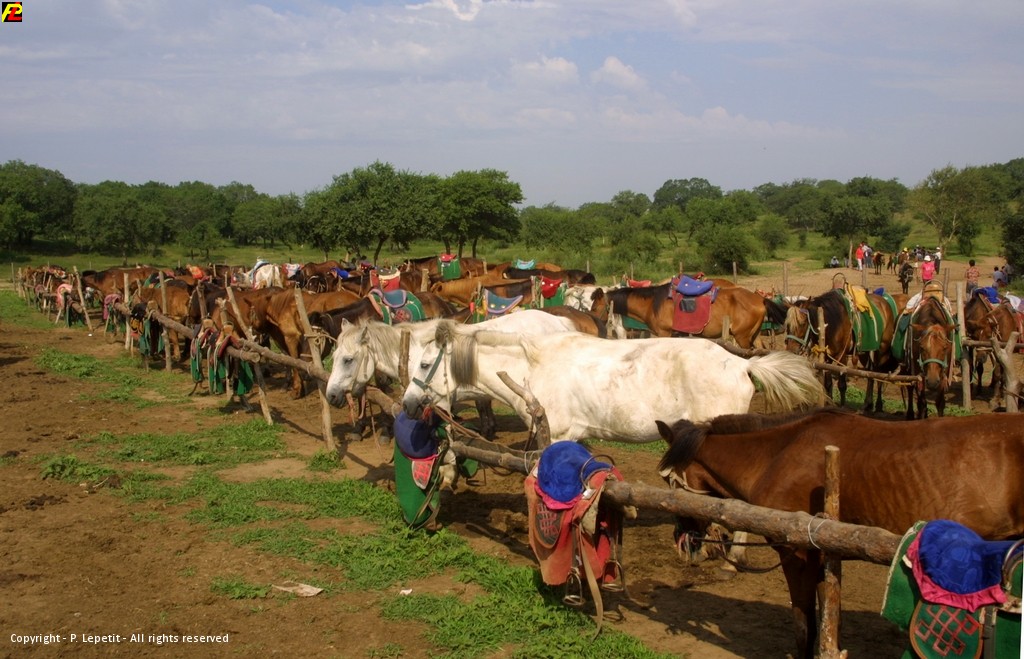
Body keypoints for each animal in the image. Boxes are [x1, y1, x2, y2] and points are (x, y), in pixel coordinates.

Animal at [590, 282, 787, 349]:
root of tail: (760, 299)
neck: (652, 303)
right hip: (752, 336)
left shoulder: (664, 333)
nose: (594, 323)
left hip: (742, 337)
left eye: (595, 308)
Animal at [656, 407, 1024, 659]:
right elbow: (827, 618)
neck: (776, 454)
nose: (682, 541)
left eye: (670, 482)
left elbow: (803, 621)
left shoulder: (797, 554)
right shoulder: (823, 551)